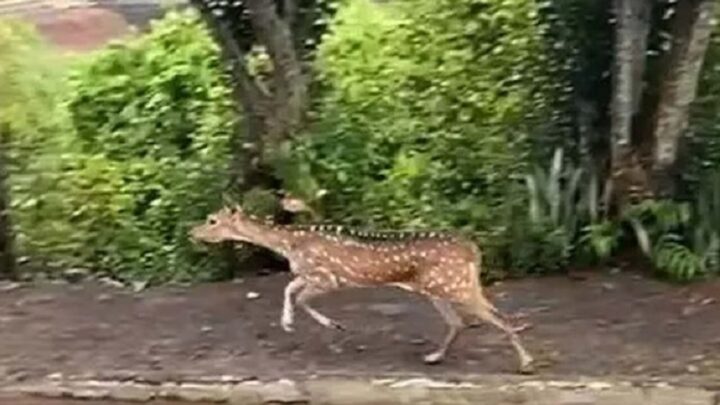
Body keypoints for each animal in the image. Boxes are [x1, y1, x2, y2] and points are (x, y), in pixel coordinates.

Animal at [191, 205, 536, 372]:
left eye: (212, 220)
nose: (192, 232)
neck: (289, 244)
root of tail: (474, 250)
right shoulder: (309, 273)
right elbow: (289, 288)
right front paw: (287, 323)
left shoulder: (328, 277)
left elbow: (300, 297)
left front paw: (334, 325)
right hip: (439, 288)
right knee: (459, 321)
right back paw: (434, 356)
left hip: (455, 285)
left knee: (499, 316)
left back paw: (526, 364)